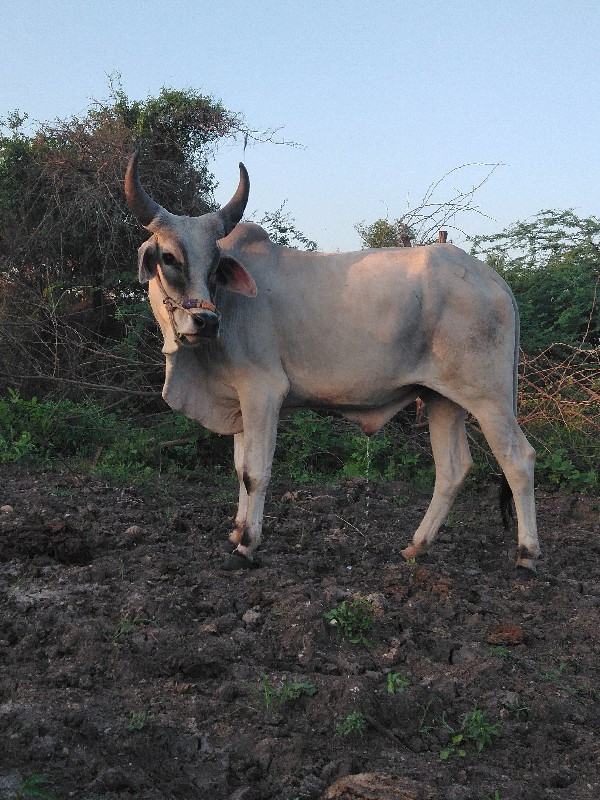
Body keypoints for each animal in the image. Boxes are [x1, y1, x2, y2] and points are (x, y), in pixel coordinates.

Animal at [123, 152, 540, 568]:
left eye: (214, 266)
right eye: (169, 258)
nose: (206, 322)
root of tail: (494, 280)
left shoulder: (263, 391)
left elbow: (255, 473)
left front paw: (247, 546)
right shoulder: (238, 400)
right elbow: (240, 468)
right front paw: (238, 532)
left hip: (488, 397)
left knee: (518, 459)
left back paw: (526, 555)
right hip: (442, 399)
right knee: (453, 469)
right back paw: (416, 546)